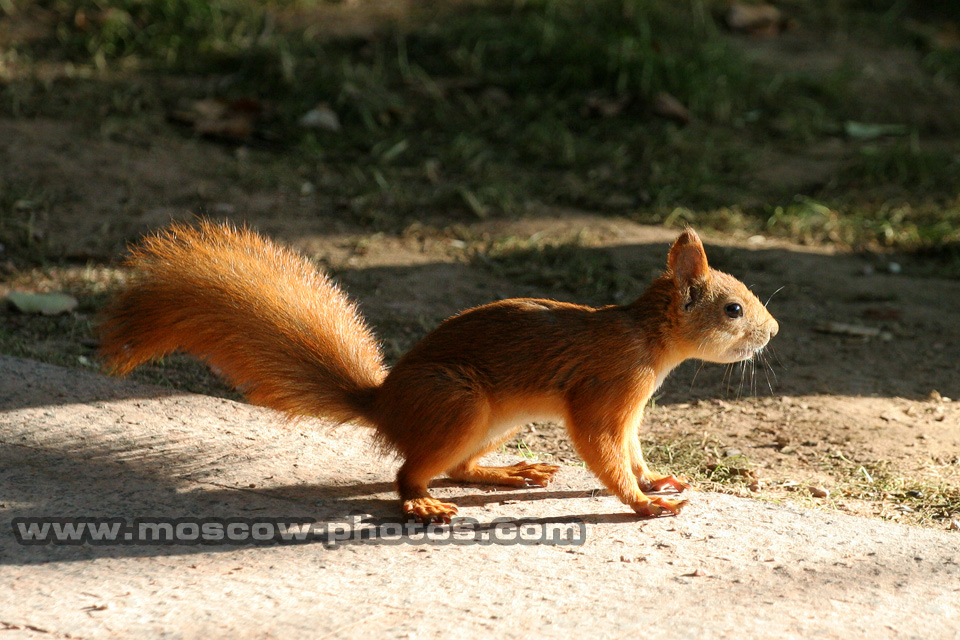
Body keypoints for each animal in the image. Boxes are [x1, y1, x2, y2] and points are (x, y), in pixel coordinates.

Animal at [99, 221, 778, 523]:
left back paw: (509, 472)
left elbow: (632, 451)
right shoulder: (604, 392)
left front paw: (654, 480)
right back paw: (422, 504)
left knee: (455, 467)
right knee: (410, 472)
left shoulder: (631, 412)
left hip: (493, 421)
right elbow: (603, 450)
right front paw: (641, 502)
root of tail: (383, 404)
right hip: (458, 404)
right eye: (733, 308)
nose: (773, 332)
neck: (646, 339)